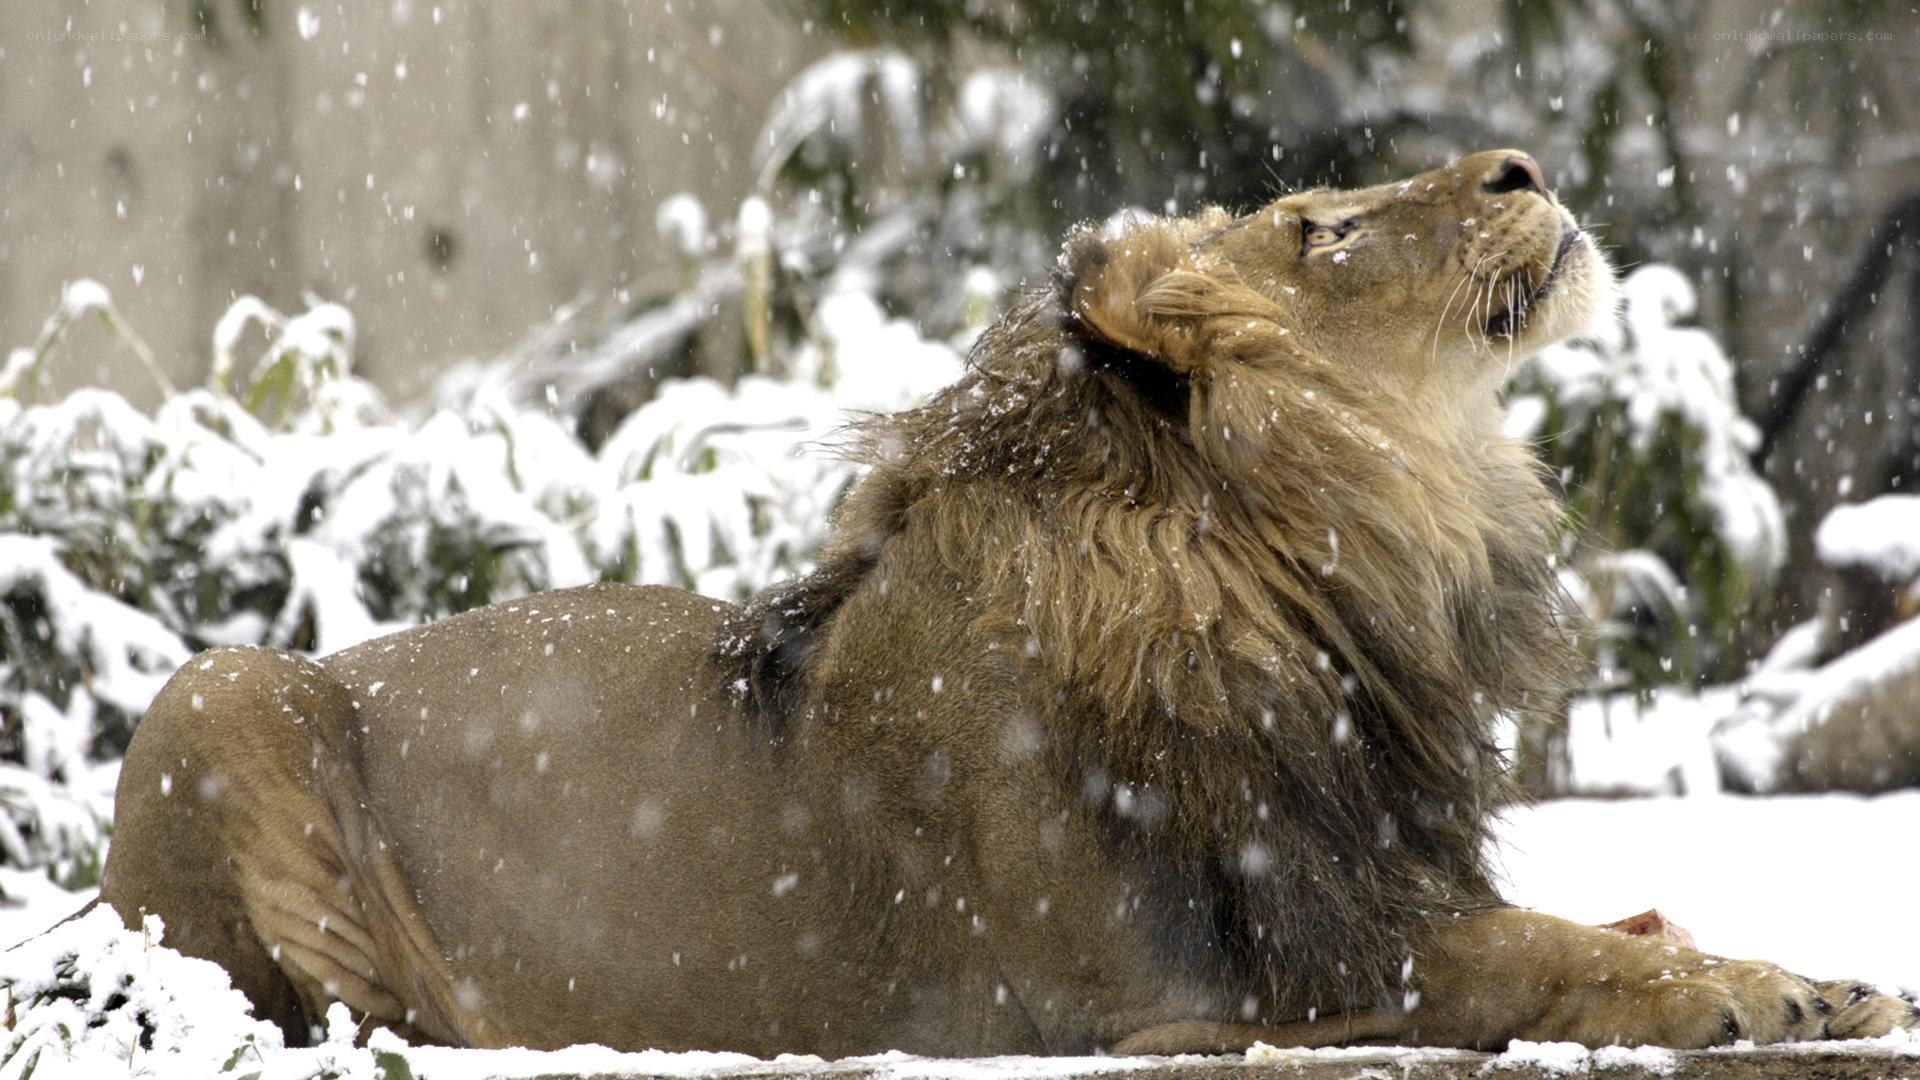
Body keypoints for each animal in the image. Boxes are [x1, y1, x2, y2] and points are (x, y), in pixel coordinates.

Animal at [97, 150, 1916, 1056]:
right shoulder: (1205, 987)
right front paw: (1770, 990)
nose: (1524, 161)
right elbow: (1549, 960)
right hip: (224, 690)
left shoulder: (1356, 880)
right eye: (1320, 227)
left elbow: (1611, 923)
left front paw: (1808, 972)